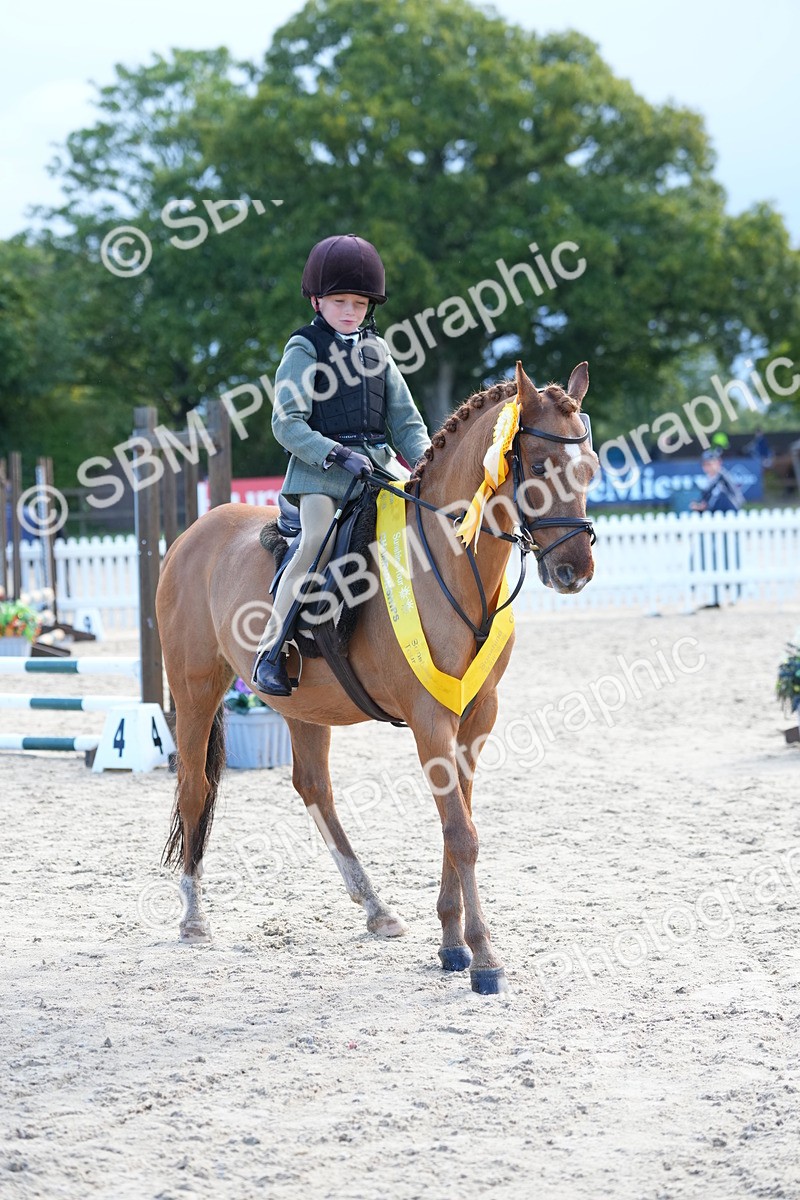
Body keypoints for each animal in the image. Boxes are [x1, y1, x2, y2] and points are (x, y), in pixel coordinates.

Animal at [155, 360, 598, 993]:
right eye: (537, 467)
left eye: (590, 467)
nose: (574, 571)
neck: (447, 560)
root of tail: (192, 534)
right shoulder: (429, 718)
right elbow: (462, 833)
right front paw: (484, 958)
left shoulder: (477, 715)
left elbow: (457, 821)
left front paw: (452, 943)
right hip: (196, 689)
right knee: (195, 786)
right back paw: (193, 916)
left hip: (301, 705)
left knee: (313, 787)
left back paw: (376, 908)